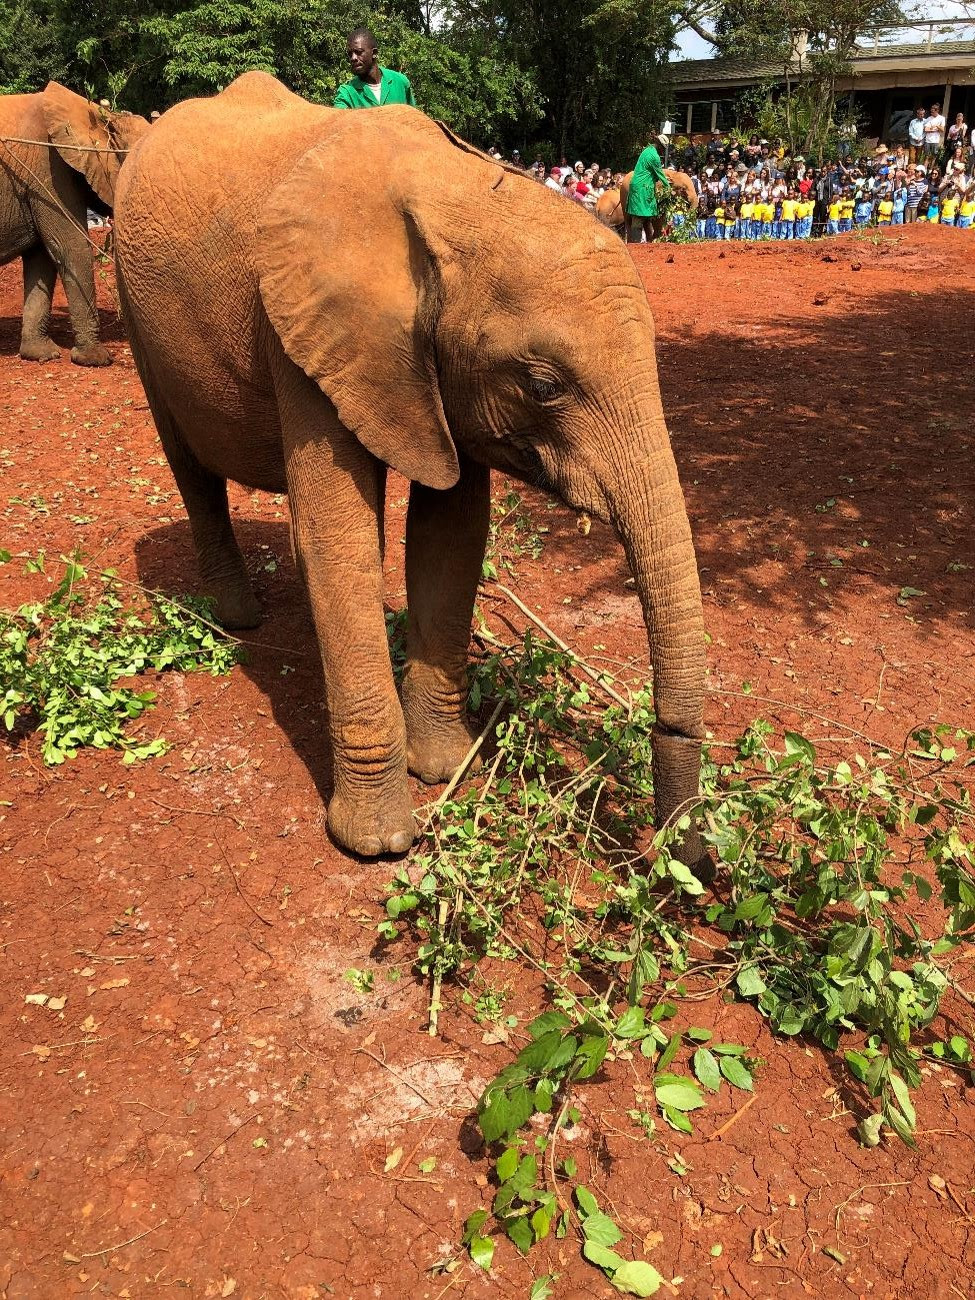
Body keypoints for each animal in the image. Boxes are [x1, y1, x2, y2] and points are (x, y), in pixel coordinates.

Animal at [114, 71, 708, 868]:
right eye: (543, 385)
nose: (681, 853)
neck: (455, 192)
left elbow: (452, 534)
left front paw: (444, 766)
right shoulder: (302, 326)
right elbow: (336, 538)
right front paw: (379, 842)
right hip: (131, 298)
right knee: (190, 468)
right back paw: (236, 617)